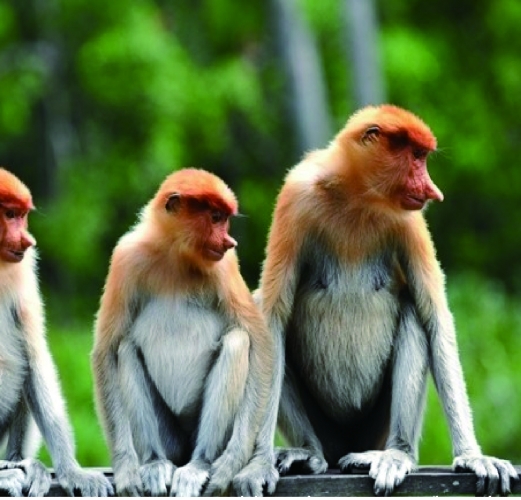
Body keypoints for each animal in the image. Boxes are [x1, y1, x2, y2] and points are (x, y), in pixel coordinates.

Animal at [0, 167, 112, 496]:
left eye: (22, 215)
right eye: (9, 214)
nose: (28, 240)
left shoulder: (22, 268)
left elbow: (34, 355)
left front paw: (73, 472)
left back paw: (16, 462)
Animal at [92, 168, 280, 496]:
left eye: (225, 219)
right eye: (215, 217)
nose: (229, 241)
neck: (175, 256)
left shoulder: (225, 267)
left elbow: (260, 342)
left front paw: (231, 464)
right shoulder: (125, 258)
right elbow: (106, 350)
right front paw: (126, 471)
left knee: (237, 341)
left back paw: (199, 464)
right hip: (172, 440)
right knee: (125, 348)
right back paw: (155, 463)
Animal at [252, 106, 516, 496]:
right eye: (416, 156)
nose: (433, 191)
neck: (356, 197)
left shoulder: (410, 222)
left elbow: (435, 318)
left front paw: (473, 457)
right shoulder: (294, 197)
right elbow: (272, 318)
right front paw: (256, 465)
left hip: (377, 428)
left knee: (413, 312)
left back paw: (395, 455)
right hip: (328, 431)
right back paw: (309, 453)